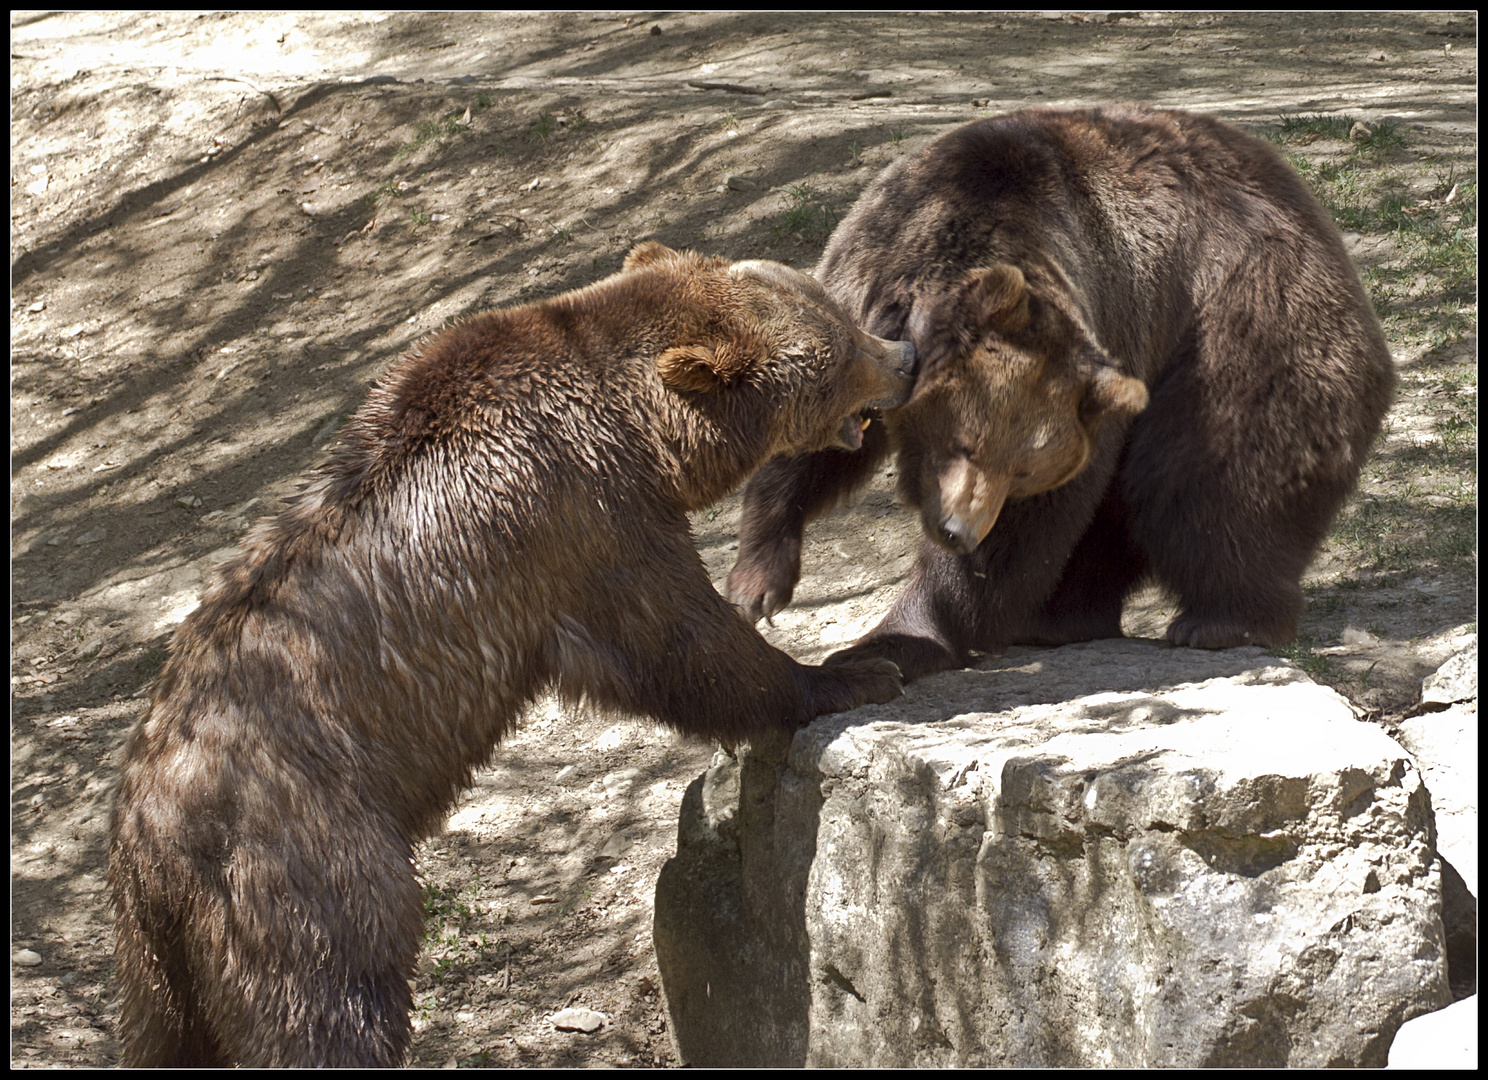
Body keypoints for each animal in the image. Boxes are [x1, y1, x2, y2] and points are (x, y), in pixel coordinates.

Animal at [104, 240, 910, 1071]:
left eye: (833, 305)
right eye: (838, 349)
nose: (904, 356)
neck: (637, 425)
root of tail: (151, 839)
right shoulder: (584, 517)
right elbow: (679, 641)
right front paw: (849, 672)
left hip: (153, 959)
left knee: (163, 1035)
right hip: (303, 857)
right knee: (332, 995)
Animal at [726, 110, 1398, 684]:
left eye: (1024, 471)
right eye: (961, 443)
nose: (959, 531)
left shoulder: (1106, 332)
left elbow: (1034, 528)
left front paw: (898, 639)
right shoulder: (866, 285)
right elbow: (813, 434)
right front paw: (756, 584)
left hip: (1241, 322)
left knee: (1207, 475)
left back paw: (1220, 620)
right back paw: (1062, 618)